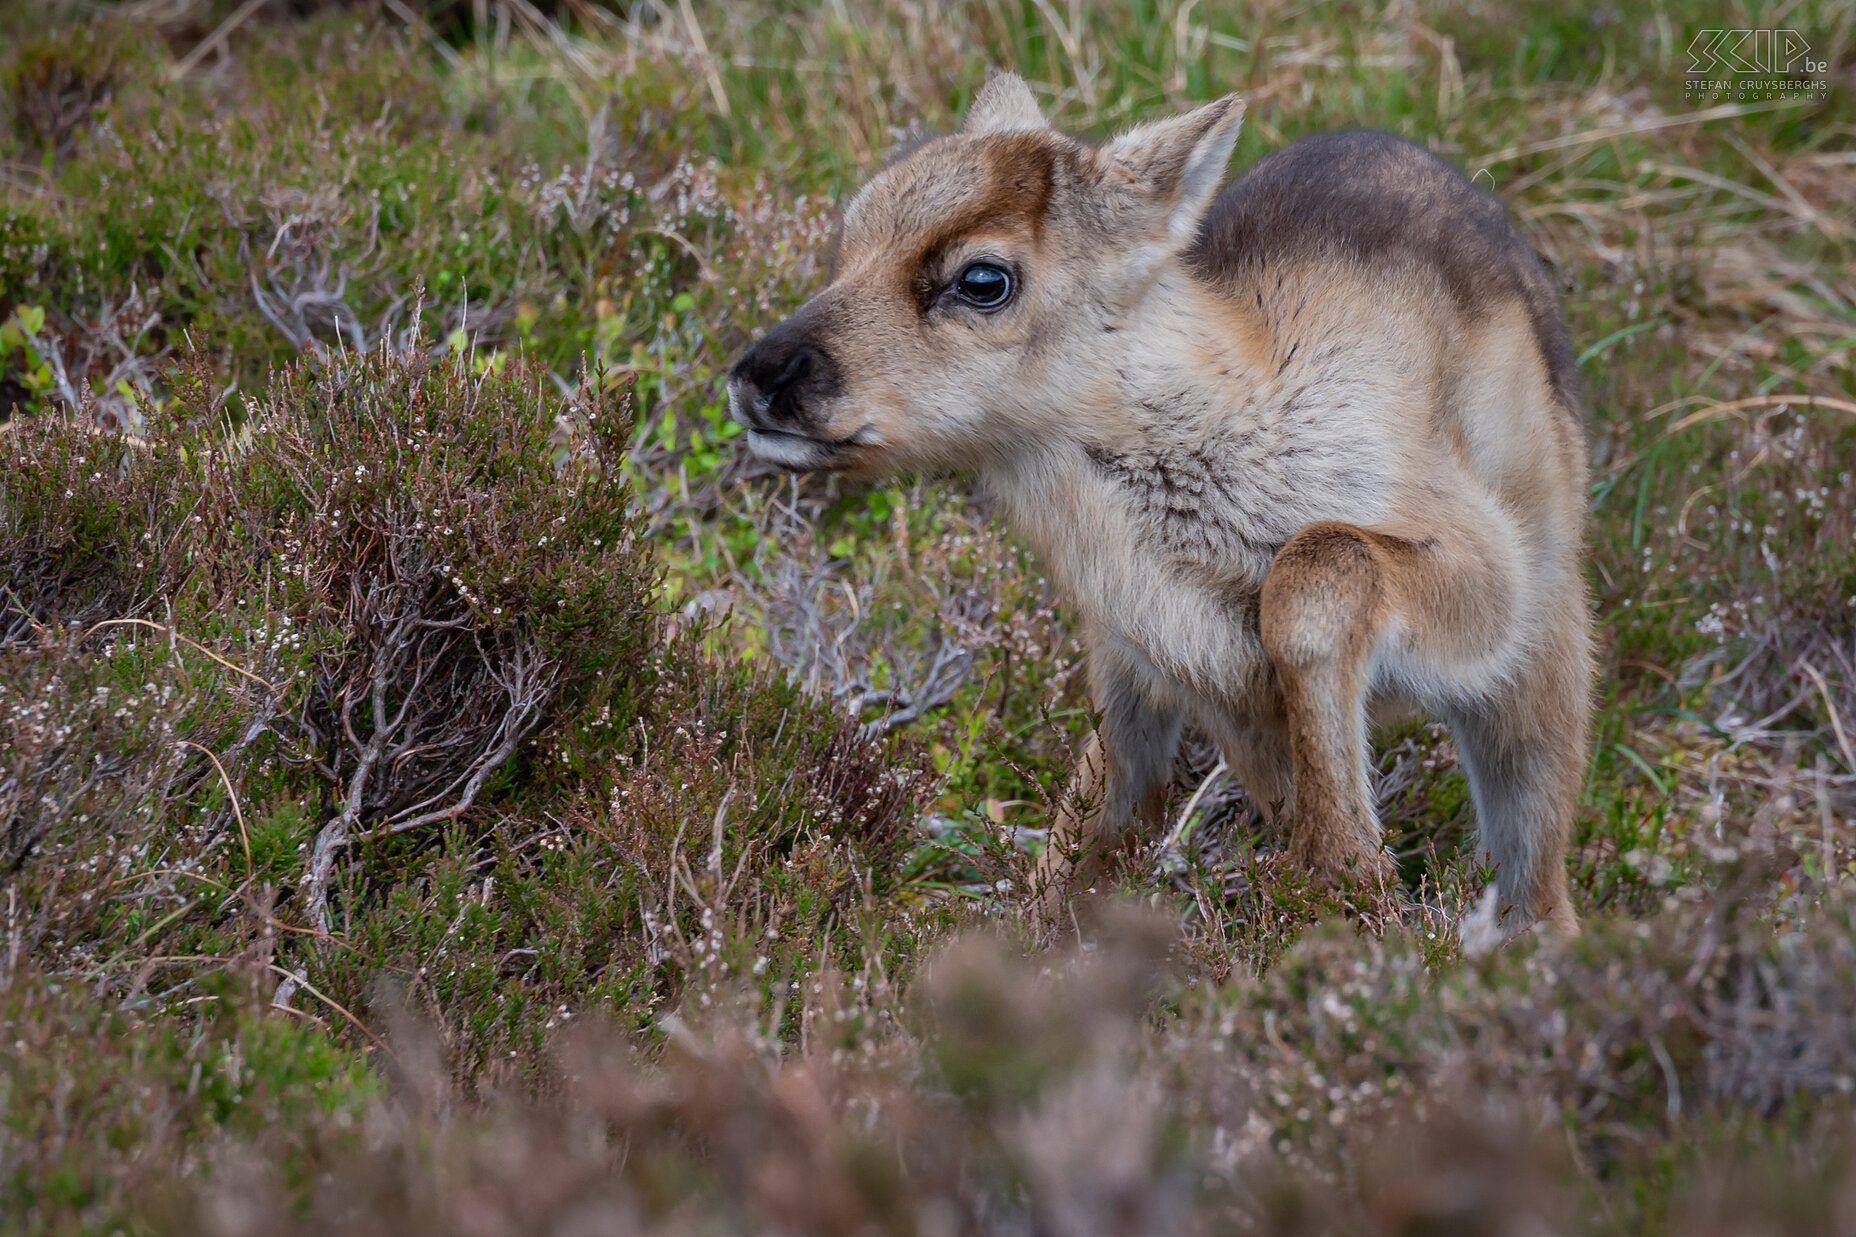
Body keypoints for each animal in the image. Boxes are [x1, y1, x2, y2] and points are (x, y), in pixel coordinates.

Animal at [731, 77, 1588, 928]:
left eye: (982, 279)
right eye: (851, 236)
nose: (759, 375)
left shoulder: (1487, 578)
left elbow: (1317, 564)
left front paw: (1349, 873)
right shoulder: (1135, 665)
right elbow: (1078, 851)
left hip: (1544, 665)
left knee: (1541, 886)